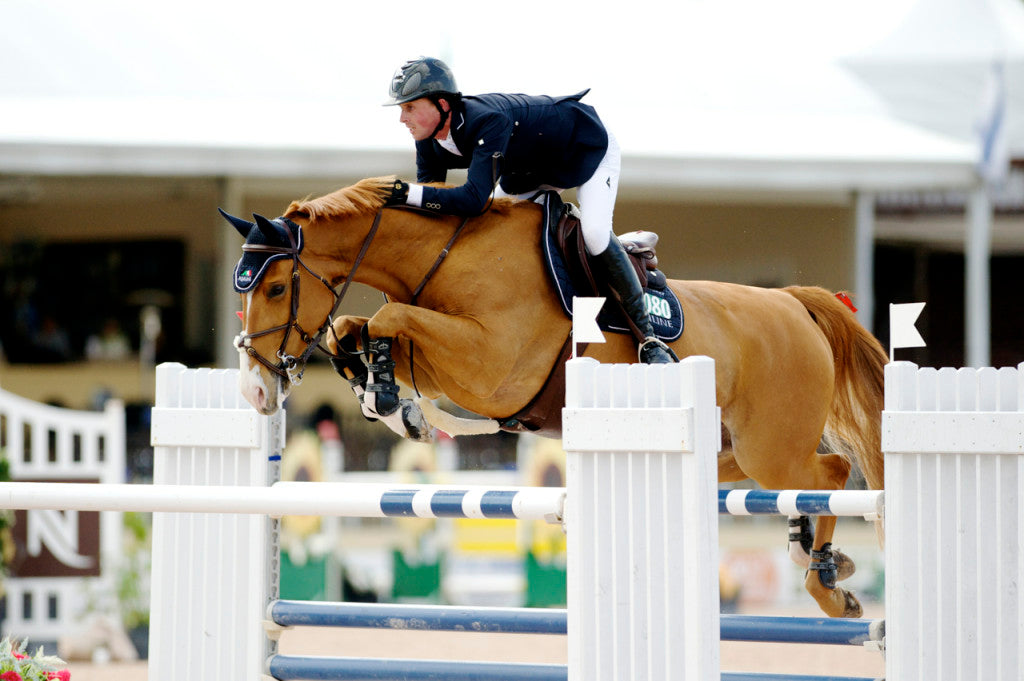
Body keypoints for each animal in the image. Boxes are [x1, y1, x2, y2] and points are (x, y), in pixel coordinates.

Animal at [224, 174, 888, 614]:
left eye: (278, 287)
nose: (256, 390)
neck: (447, 258)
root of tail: (795, 304)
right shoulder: (444, 360)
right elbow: (353, 327)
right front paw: (389, 399)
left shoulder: (490, 368)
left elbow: (389, 321)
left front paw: (389, 399)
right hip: (731, 454)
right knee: (804, 483)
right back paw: (816, 554)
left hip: (768, 446)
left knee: (831, 473)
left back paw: (827, 581)